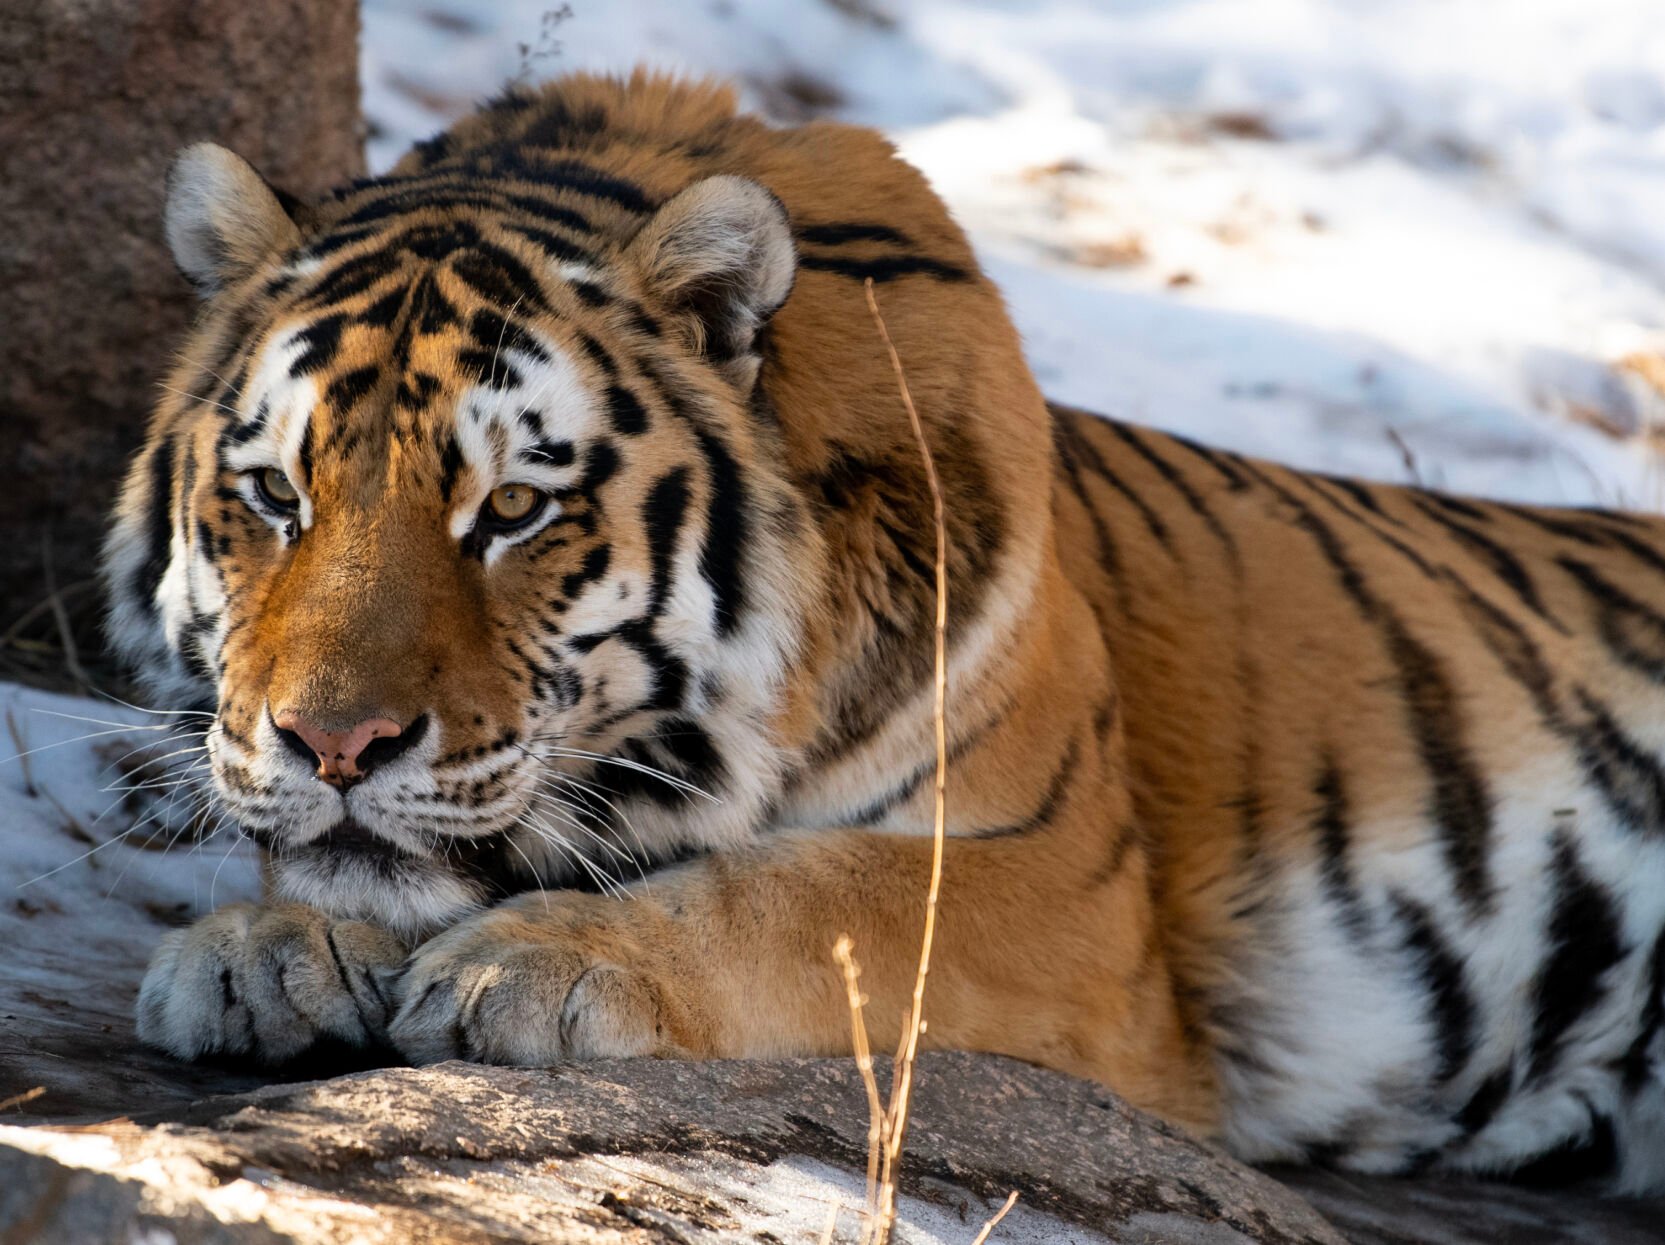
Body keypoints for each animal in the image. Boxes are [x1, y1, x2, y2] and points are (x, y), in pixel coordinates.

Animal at [110, 70, 1665, 1198]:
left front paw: (535, 967)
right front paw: (264, 945)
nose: (333, 745)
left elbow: (804, 900)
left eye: (512, 508)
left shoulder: (1063, 898)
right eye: (275, 493)